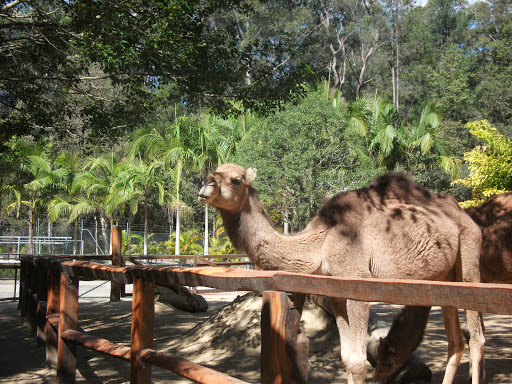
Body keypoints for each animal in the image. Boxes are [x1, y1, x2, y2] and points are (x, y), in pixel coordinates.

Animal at [198, 164, 486, 382]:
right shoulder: (335, 293)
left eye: (235, 180)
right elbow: (347, 358)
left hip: (469, 257)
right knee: (456, 341)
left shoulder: (358, 284)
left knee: (477, 337)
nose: (205, 185)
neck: (321, 243)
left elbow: (358, 362)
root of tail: (462, 213)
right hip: (444, 277)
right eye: (213, 171)